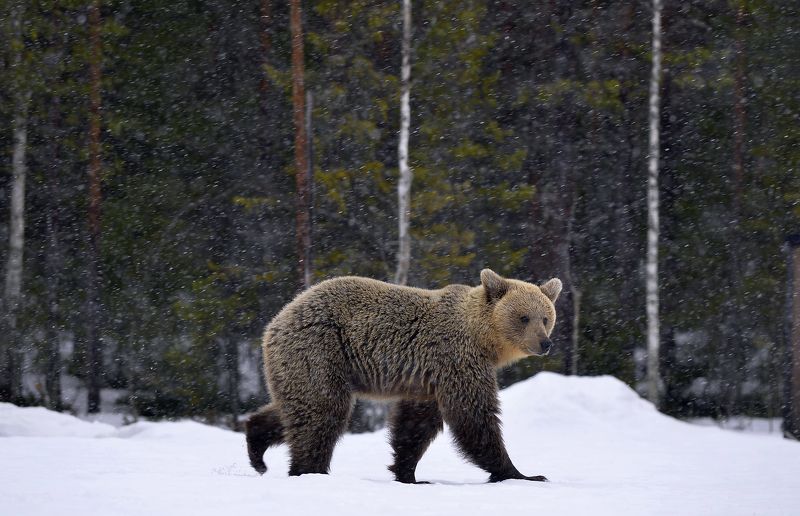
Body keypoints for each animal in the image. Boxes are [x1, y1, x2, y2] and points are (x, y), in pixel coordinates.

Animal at [245, 268, 561, 483]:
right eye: (524, 317)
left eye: (546, 317)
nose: (544, 343)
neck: (483, 340)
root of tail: (276, 322)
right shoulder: (456, 360)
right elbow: (473, 415)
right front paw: (522, 473)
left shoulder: (427, 378)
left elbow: (416, 425)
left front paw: (408, 473)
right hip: (320, 349)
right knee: (322, 409)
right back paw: (309, 469)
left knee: (296, 406)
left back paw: (257, 448)